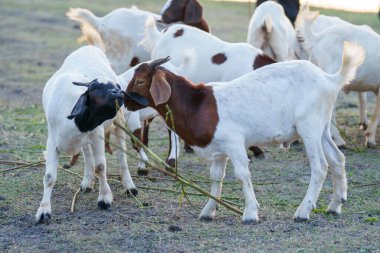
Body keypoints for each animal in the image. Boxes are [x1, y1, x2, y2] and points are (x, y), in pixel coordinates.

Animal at [35, 44, 140, 222]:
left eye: (118, 87)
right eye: (94, 88)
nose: (118, 93)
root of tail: (89, 47)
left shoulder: (97, 135)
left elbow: (101, 166)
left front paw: (105, 198)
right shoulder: (53, 141)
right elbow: (49, 177)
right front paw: (43, 211)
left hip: (118, 123)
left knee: (122, 156)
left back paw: (129, 186)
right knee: (87, 154)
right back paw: (87, 182)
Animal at [123, 42, 364, 223]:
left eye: (141, 80)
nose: (125, 100)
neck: (198, 104)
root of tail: (328, 78)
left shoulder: (234, 143)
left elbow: (242, 174)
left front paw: (250, 213)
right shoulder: (219, 151)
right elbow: (216, 177)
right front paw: (208, 210)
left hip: (309, 128)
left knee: (320, 166)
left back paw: (303, 211)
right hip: (322, 128)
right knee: (337, 159)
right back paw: (335, 206)